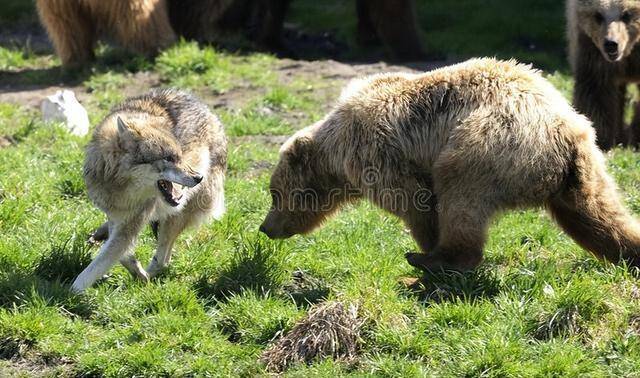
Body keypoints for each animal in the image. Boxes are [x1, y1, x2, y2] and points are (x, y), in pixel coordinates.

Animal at [72, 88, 228, 292]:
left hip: (178, 213)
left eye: (180, 156)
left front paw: (67, 293)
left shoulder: (131, 223)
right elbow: (120, 253)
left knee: (163, 260)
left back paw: (148, 278)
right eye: (168, 158)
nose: (199, 178)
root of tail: (209, 111)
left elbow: (93, 268)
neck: (119, 187)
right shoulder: (117, 216)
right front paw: (133, 267)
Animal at [258, 57, 640, 272]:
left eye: (274, 194)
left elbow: (415, 201)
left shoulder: (378, 152)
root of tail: (564, 130)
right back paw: (629, 251)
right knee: (596, 215)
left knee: (459, 197)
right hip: (584, 169)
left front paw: (427, 244)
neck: (336, 152)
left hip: (486, 146)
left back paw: (434, 260)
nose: (265, 227)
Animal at [568, 0, 640, 151]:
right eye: (598, 15)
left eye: (626, 14)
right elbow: (597, 90)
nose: (611, 44)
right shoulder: (593, 51)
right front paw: (602, 139)